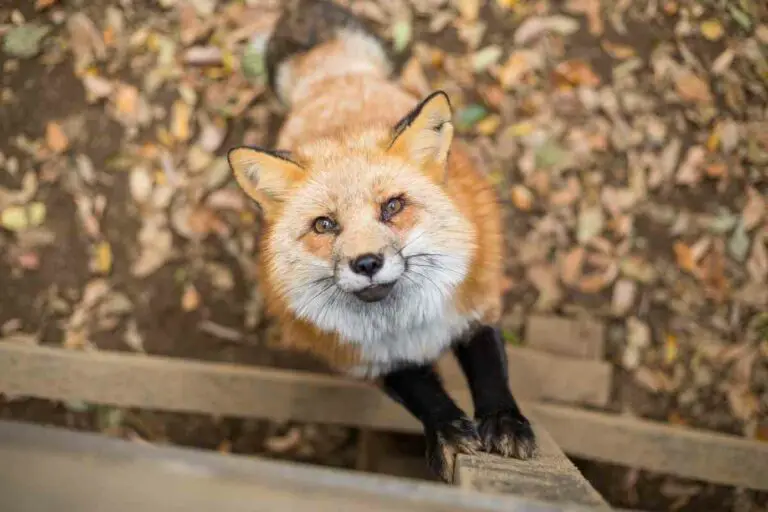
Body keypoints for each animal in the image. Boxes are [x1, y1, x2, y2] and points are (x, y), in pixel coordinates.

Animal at [227, 0, 537, 481]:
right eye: (324, 225)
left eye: (392, 206)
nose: (367, 262)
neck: (407, 326)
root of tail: (334, 77)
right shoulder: (368, 361)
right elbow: (422, 395)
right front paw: (447, 432)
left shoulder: (476, 307)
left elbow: (490, 369)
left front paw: (504, 421)